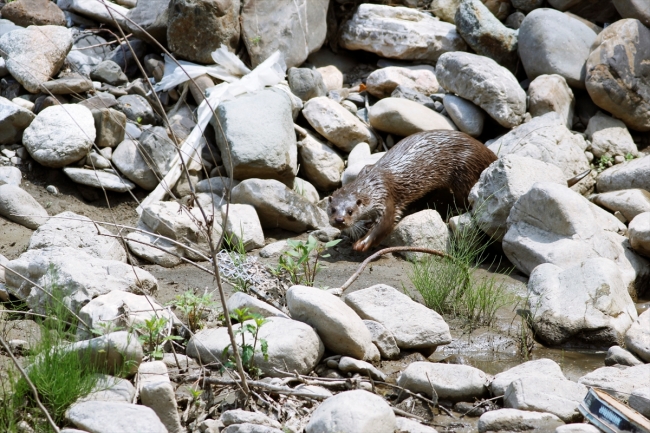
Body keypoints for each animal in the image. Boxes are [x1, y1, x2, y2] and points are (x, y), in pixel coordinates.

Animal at [330, 129, 496, 250]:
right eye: (332, 210)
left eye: (350, 211)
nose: (339, 220)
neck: (371, 183)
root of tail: (487, 152)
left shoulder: (385, 197)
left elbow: (385, 224)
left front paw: (362, 243)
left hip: (466, 172)